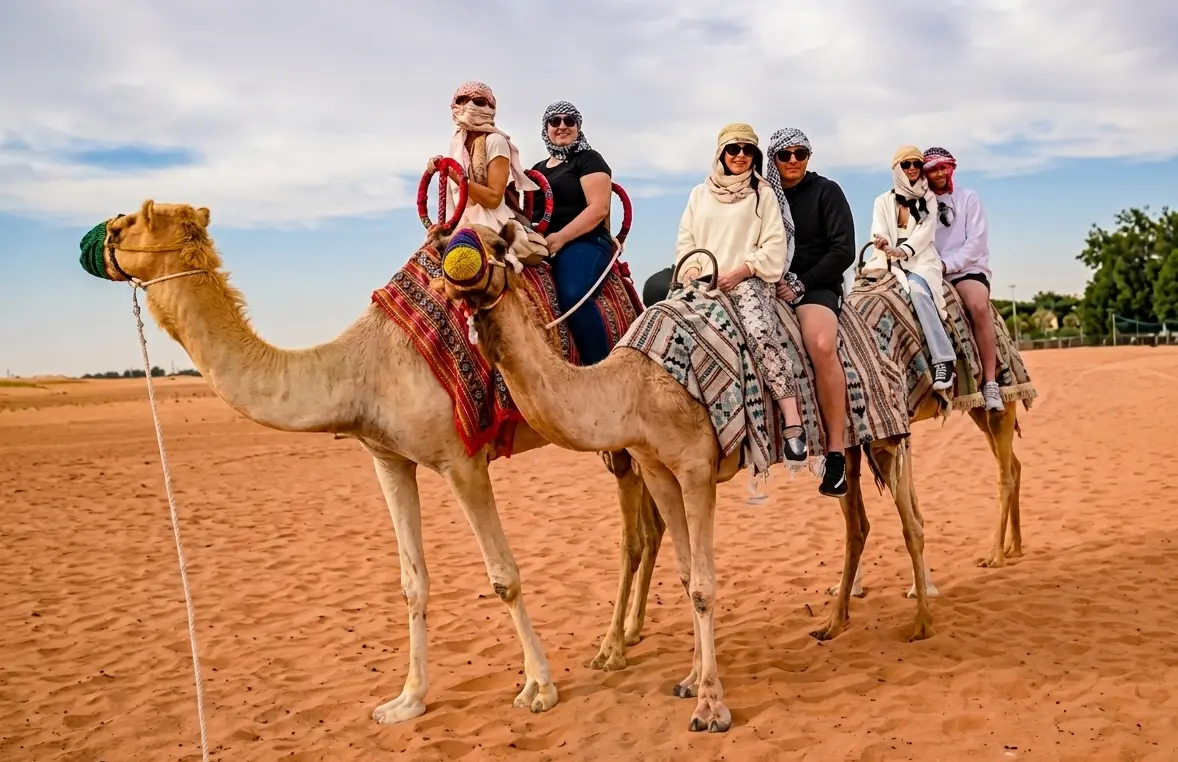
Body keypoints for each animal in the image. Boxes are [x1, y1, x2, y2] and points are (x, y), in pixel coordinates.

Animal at [79, 199, 665, 726]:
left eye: (125, 223)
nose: (90, 244)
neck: (364, 366)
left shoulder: (461, 461)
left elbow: (504, 577)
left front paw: (539, 688)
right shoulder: (388, 458)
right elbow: (412, 582)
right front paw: (407, 701)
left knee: (633, 535)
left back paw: (611, 649)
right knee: (653, 524)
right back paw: (632, 632)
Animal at [436, 221, 936, 733]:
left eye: (496, 244)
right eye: (444, 243)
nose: (453, 270)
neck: (633, 389)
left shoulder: (696, 470)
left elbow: (702, 586)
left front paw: (710, 707)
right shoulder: (657, 470)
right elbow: (683, 574)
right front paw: (691, 679)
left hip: (887, 431)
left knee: (911, 522)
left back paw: (921, 625)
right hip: (852, 448)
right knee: (857, 521)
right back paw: (834, 624)